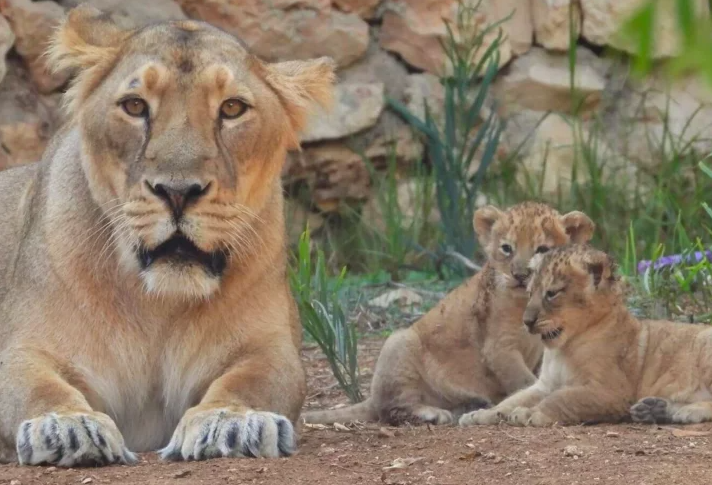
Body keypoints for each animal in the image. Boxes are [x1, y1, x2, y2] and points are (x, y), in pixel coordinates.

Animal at [0, 5, 336, 466]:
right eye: (134, 105)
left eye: (232, 108)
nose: (178, 192)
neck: (158, 306)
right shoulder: (25, 348)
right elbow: (38, 387)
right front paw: (66, 427)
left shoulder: (271, 348)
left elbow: (251, 382)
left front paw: (231, 422)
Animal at [303, 202, 595, 426]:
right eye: (506, 248)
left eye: (542, 249)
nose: (520, 275)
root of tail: (371, 397)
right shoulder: (499, 349)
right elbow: (525, 382)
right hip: (399, 342)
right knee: (392, 410)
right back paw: (434, 414)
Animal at [459, 244, 712, 428]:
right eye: (530, 293)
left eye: (552, 293)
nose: (527, 321)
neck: (562, 349)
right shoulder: (544, 385)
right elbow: (512, 399)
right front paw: (481, 414)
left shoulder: (609, 391)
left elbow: (563, 398)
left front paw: (532, 413)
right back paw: (653, 409)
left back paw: (686, 411)